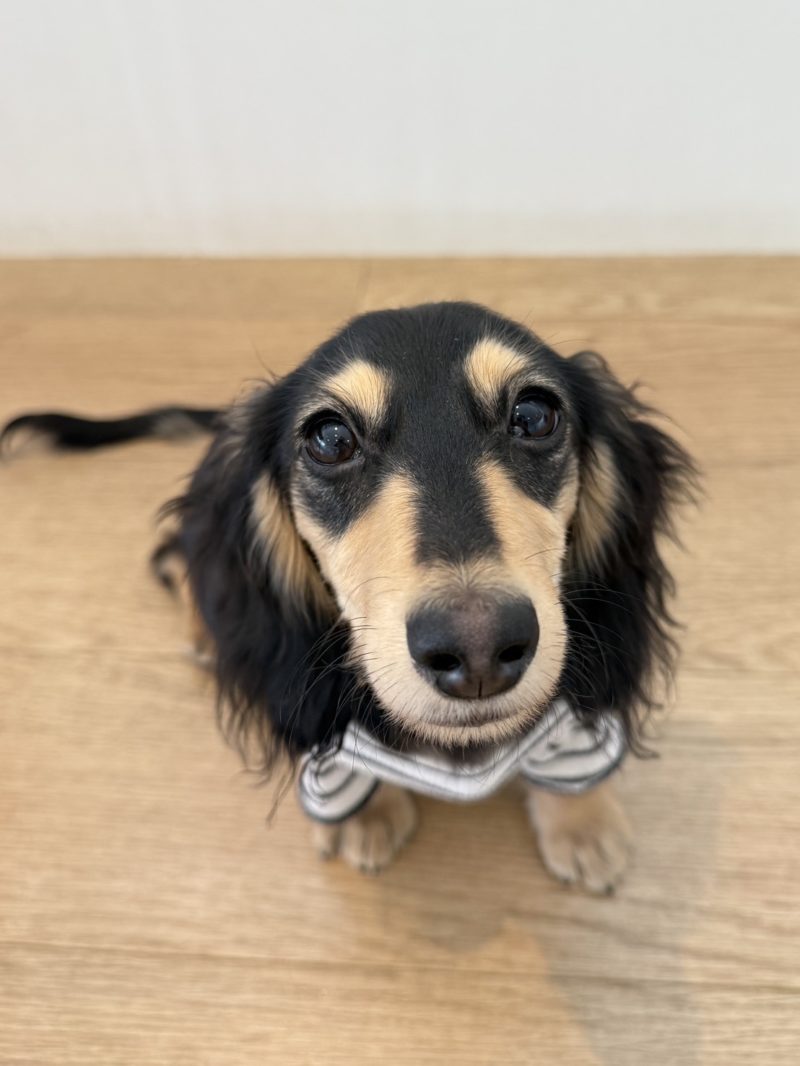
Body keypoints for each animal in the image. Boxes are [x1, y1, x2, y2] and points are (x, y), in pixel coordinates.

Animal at [2, 301, 695, 892]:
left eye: (534, 415)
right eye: (330, 438)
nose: (478, 648)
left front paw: (584, 825)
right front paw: (365, 815)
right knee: (178, 564)